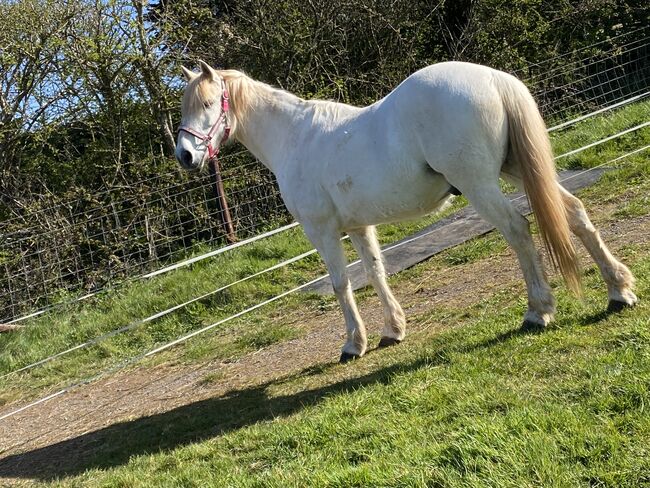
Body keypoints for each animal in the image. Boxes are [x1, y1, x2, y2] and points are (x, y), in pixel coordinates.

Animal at [175, 60, 636, 362]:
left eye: (208, 104)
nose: (184, 155)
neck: (296, 138)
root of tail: (492, 77)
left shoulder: (321, 230)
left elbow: (341, 284)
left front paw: (353, 345)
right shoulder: (358, 227)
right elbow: (375, 273)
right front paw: (393, 331)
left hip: (482, 184)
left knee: (518, 229)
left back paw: (538, 311)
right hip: (520, 168)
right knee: (574, 212)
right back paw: (618, 290)